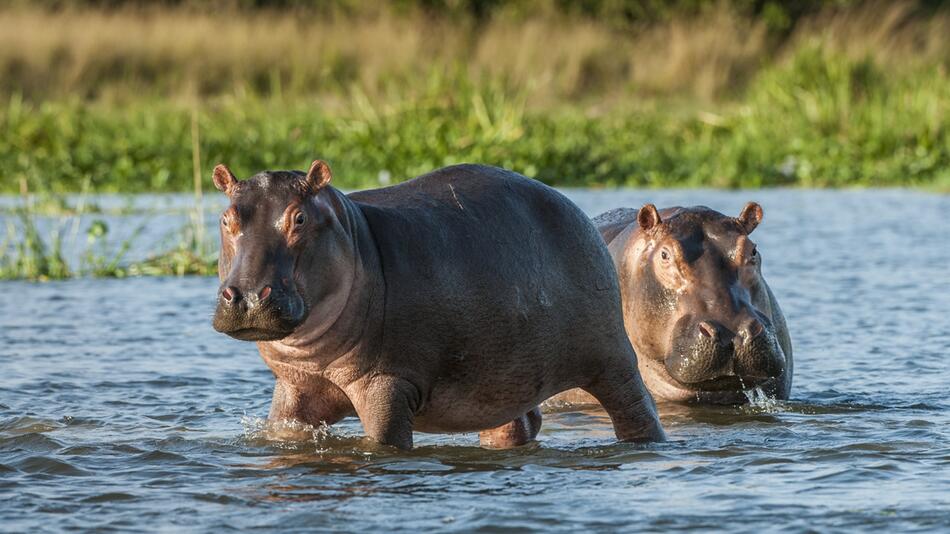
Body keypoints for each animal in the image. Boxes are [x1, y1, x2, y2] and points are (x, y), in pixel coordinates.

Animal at [212, 161, 664, 450]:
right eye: (226, 219)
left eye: (300, 218)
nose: (247, 296)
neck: (354, 236)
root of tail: (575, 209)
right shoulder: (295, 386)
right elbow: (285, 431)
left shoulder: (387, 383)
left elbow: (385, 443)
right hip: (503, 377)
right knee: (516, 423)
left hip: (612, 360)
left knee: (636, 408)